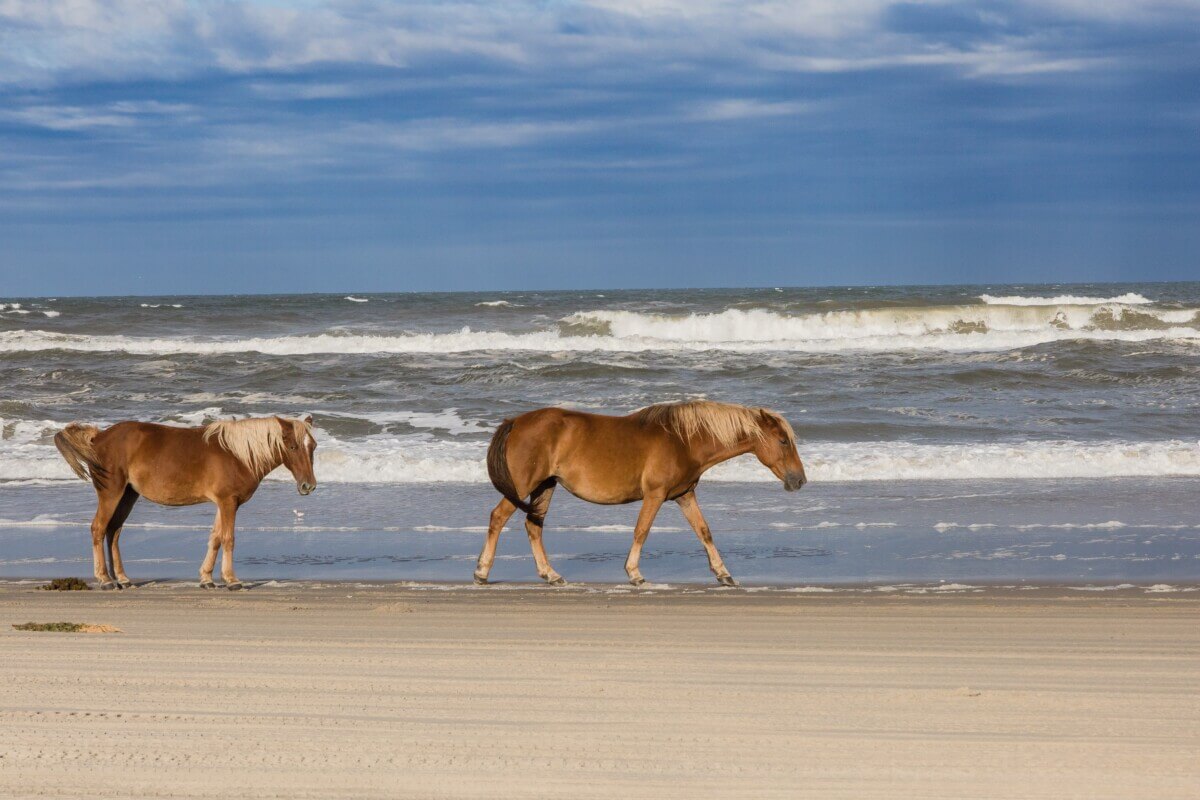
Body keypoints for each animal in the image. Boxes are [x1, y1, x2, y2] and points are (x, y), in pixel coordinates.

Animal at [54, 415, 317, 590]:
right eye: (292, 446)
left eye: (312, 446)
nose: (308, 486)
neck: (237, 454)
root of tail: (98, 437)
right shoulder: (228, 502)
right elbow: (228, 539)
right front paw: (231, 580)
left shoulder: (224, 503)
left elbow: (215, 538)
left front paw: (207, 579)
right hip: (111, 493)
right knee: (98, 529)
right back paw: (105, 579)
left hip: (128, 495)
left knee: (113, 531)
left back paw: (122, 578)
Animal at [475, 400, 806, 587]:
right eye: (783, 441)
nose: (799, 480)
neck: (684, 440)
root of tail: (515, 422)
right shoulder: (655, 495)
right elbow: (642, 531)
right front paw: (634, 573)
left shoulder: (684, 495)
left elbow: (704, 531)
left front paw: (723, 574)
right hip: (524, 485)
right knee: (498, 518)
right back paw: (482, 572)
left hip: (545, 486)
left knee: (534, 525)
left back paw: (551, 575)